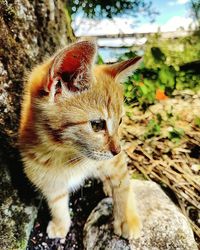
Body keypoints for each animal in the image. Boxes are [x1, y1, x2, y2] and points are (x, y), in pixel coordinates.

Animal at [18, 40, 141, 239]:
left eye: (121, 121)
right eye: (97, 124)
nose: (117, 150)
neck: (65, 155)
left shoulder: (114, 162)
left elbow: (123, 185)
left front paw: (127, 219)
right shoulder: (45, 177)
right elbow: (57, 201)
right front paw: (61, 224)